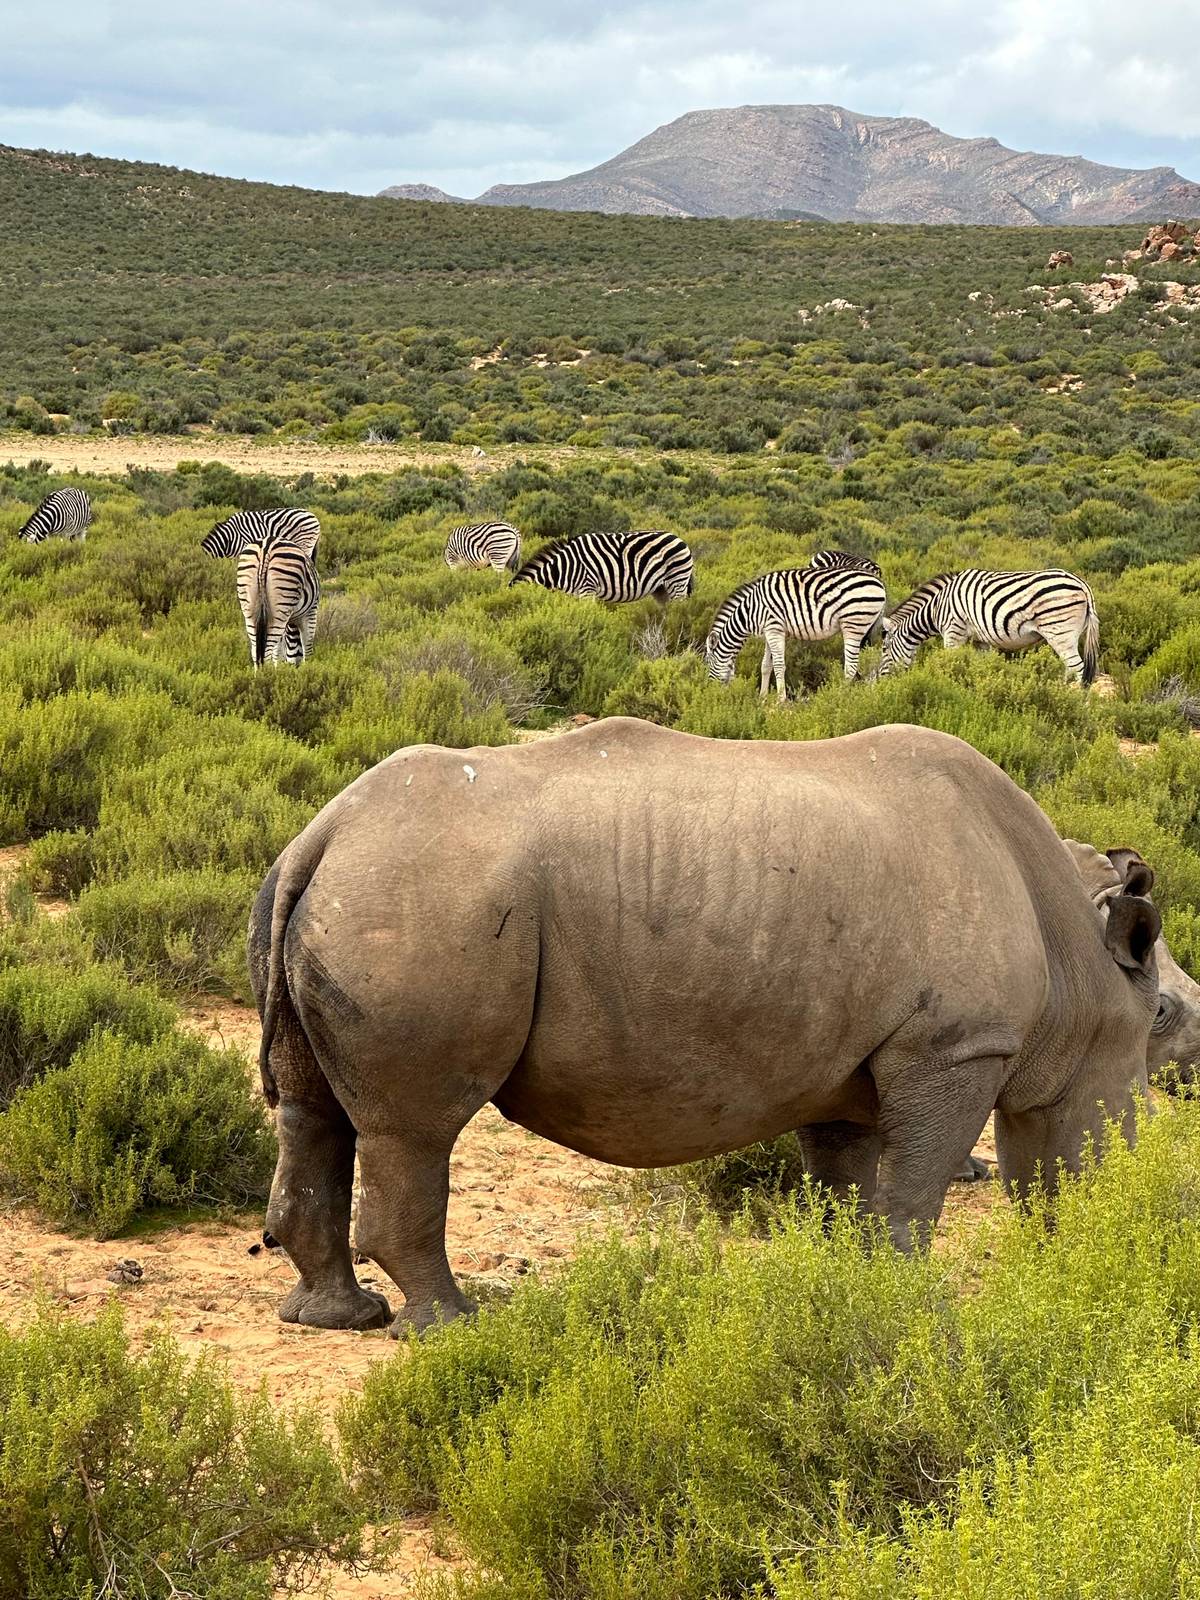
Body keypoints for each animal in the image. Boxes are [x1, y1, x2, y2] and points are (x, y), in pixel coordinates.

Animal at [249, 718, 1196, 1337]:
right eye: (1163, 1018)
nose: (1126, 1212)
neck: (1073, 950)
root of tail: (324, 831)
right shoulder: (957, 1047)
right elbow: (913, 1189)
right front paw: (911, 1302)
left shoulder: (849, 1057)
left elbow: (847, 1183)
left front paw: (847, 1284)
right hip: (421, 897)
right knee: (417, 1128)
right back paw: (450, 1328)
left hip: (355, 887)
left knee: (313, 1107)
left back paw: (338, 1318)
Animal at [706, 564, 887, 702]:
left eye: (707, 662)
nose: (710, 692)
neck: (750, 611)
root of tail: (879, 581)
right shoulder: (770, 631)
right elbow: (766, 665)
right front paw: (763, 698)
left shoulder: (774, 628)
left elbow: (779, 665)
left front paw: (780, 701)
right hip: (870, 627)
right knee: (874, 661)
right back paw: (871, 693)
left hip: (853, 624)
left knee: (851, 666)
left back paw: (840, 696)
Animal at [877, 569, 1100, 685]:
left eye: (884, 649)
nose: (877, 681)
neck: (936, 607)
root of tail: (1082, 584)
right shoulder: (980, 641)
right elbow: (981, 667)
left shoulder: (953, 631)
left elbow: (949, 663)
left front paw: (948, 685)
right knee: (1071, 669)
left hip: (1060, 632)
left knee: (1079, 670)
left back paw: (1080, 705)